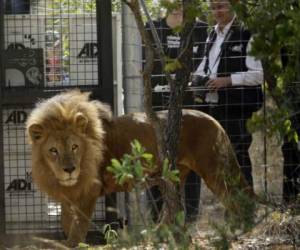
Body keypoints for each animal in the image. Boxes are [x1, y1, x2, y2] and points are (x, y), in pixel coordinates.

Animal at [26, 90, 255, 246]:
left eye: (74, 147)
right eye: (53, 150)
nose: (69, 169)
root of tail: (215, 121)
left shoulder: (89, 191)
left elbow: (78, 226)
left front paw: (73, 245)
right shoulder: (70, 193)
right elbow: (66, 221)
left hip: (215, 169)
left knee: (237, 197)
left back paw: (238, 230)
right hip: (172, 174)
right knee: (171, 208)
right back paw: (157, 235)